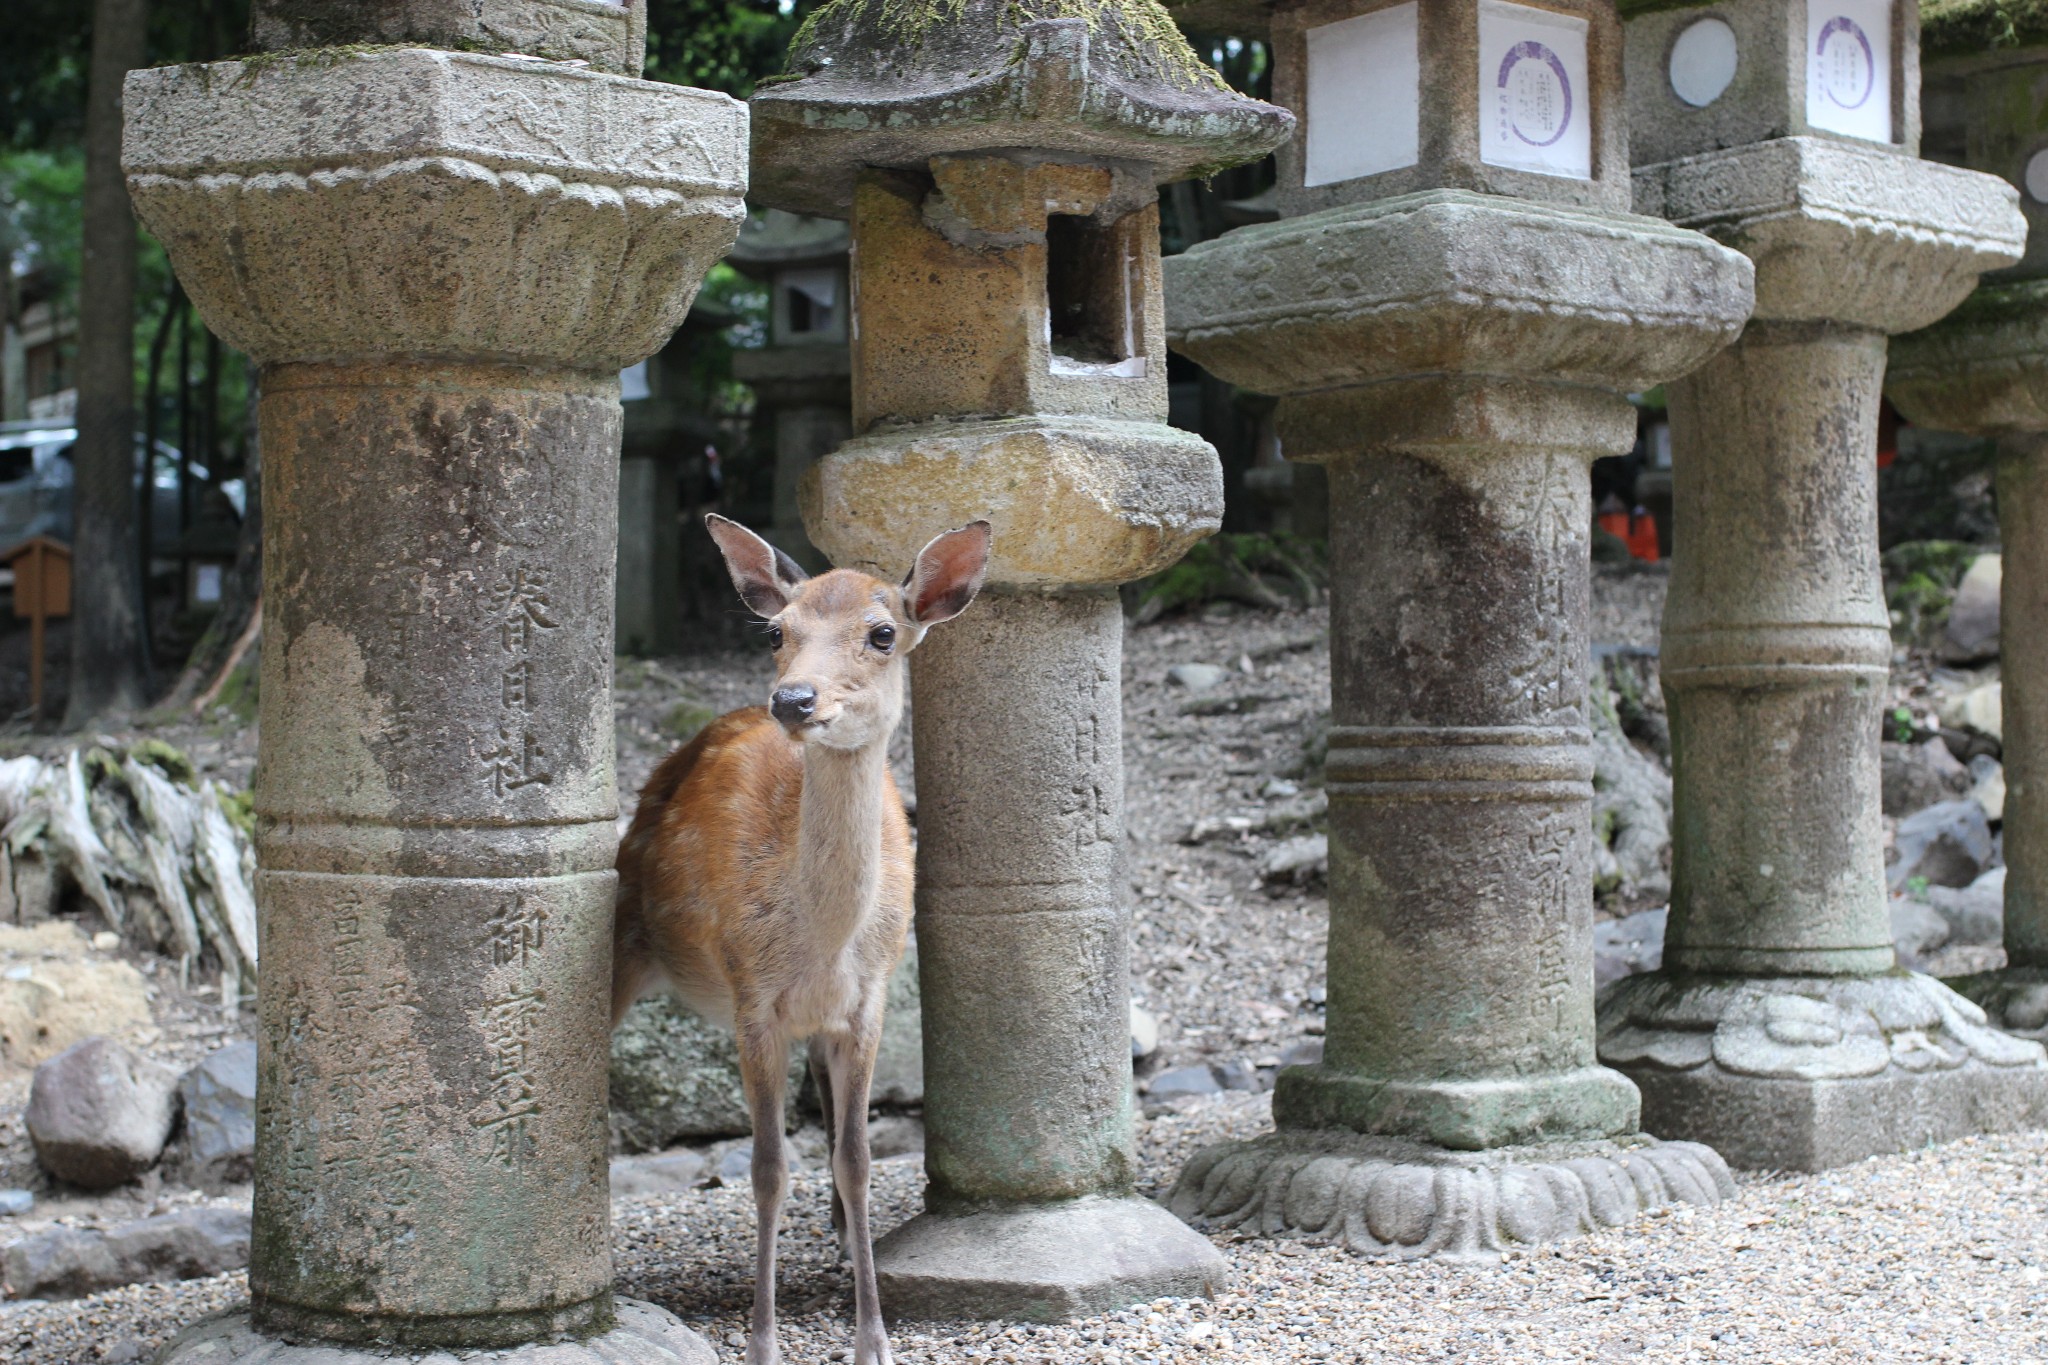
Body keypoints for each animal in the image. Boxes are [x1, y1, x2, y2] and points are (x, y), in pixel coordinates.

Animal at [606, 509, 991, 1365]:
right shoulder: (753, 1000)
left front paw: (874, 1340)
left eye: (883, 632)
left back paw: (846, 1241)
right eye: (777, 631)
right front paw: (762, 1341)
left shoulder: (868, 1000)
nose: (793, 697)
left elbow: (854, 1157)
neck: (819, 938)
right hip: (624, 930)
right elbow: (768, 1167)